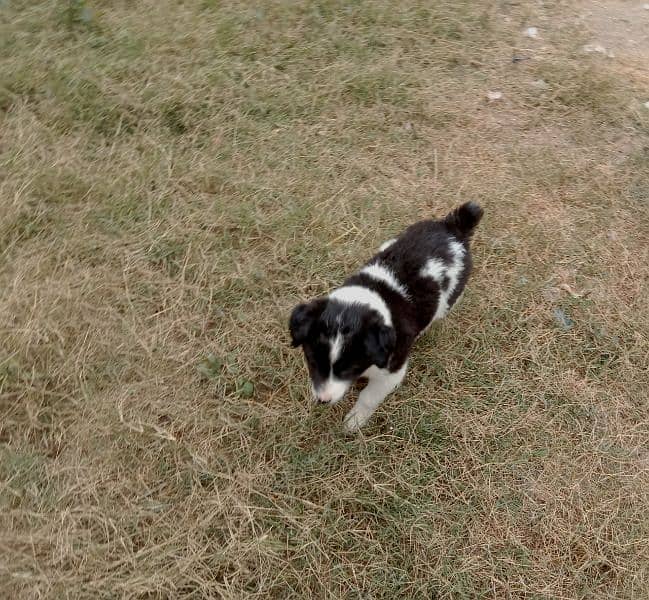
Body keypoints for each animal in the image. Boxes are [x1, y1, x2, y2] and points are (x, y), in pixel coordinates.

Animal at [288, 202, 480, 432]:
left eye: (351, 368)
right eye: (312, 360)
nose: (323, 400)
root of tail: (452, 227)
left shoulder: (391, 372)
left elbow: (368, 397)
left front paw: (354, 421)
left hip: (452, 295)